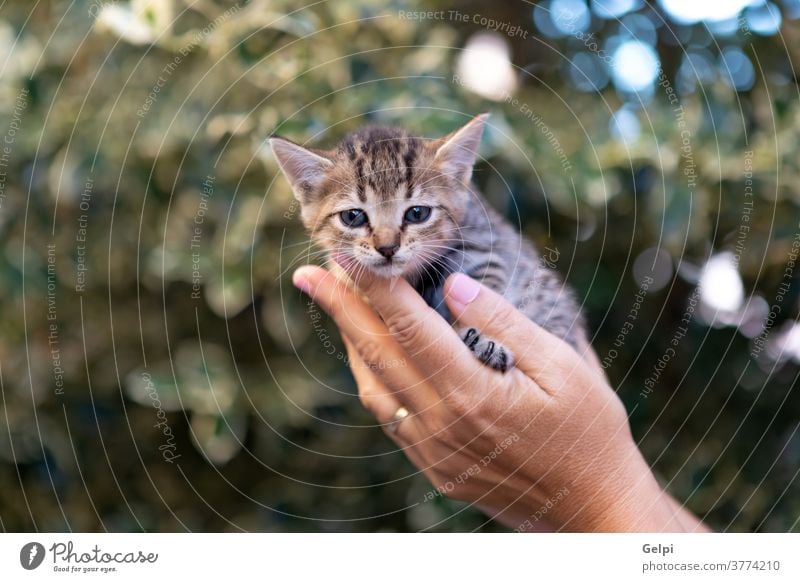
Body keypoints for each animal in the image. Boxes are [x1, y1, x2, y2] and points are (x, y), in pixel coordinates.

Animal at [272, 113, 584, 374]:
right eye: (353, 216)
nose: (387, 248)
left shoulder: (486, 246)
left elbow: (484, 283)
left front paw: (482, 339)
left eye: (417, 213)